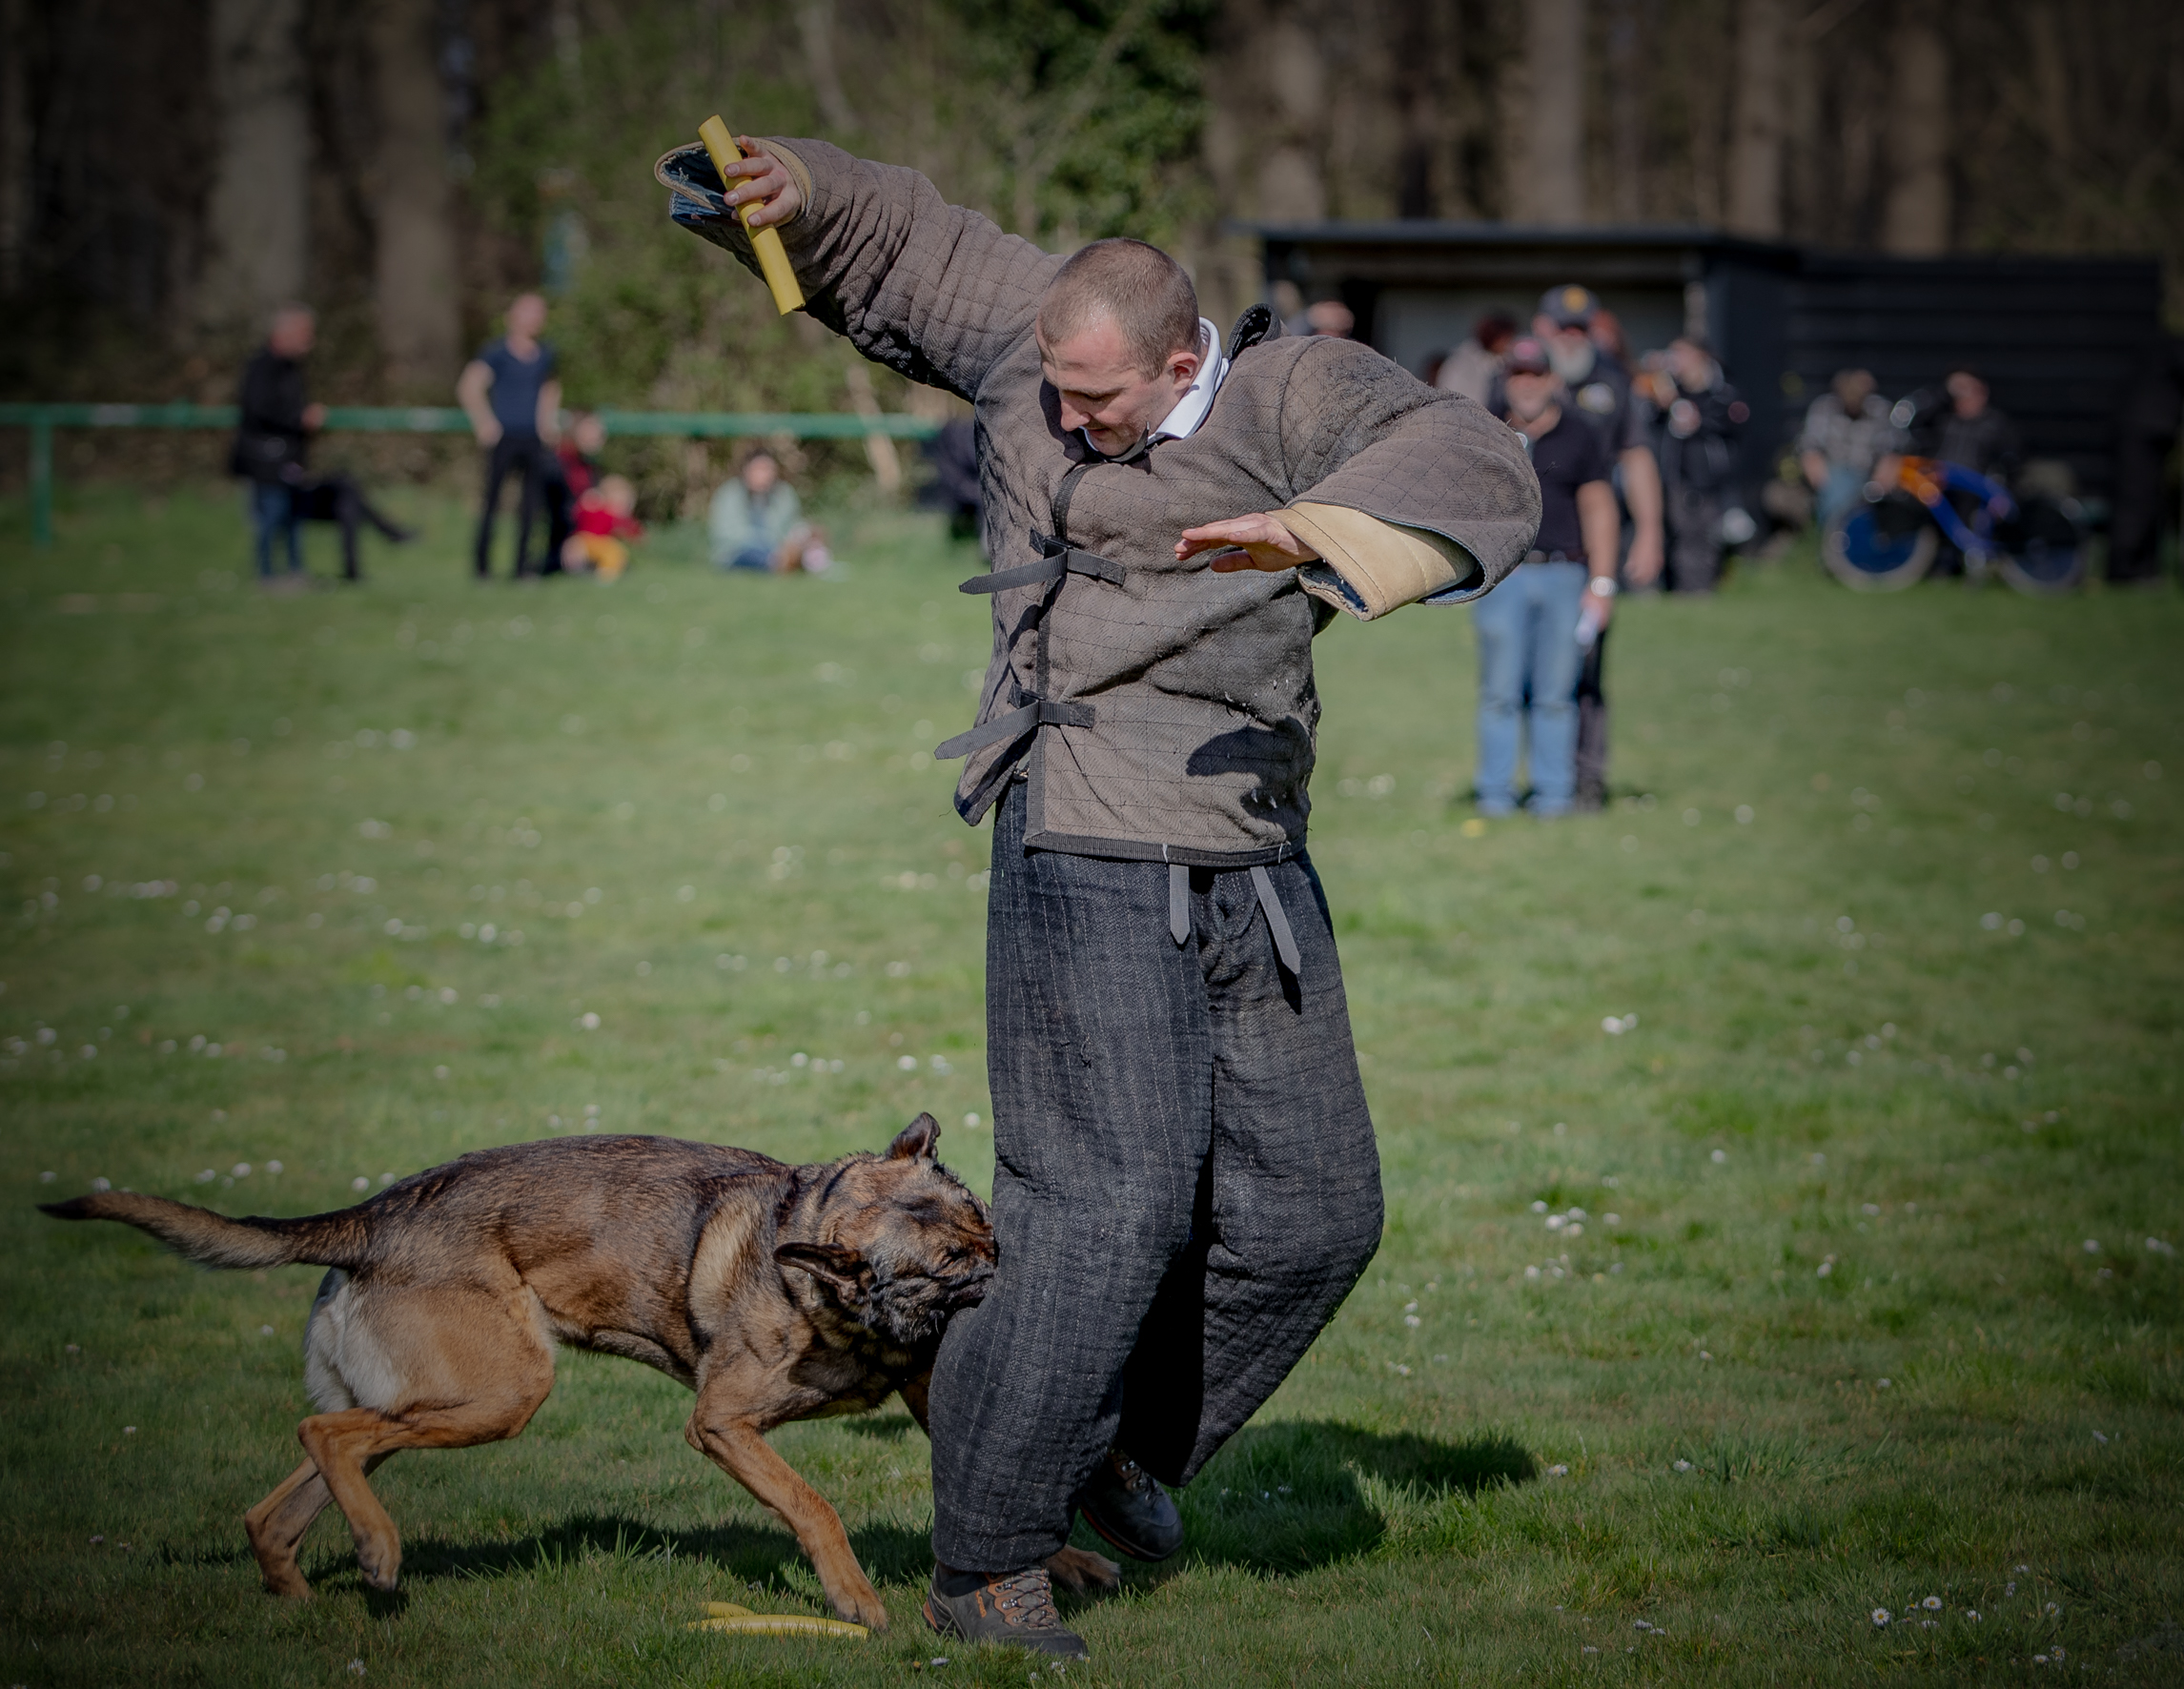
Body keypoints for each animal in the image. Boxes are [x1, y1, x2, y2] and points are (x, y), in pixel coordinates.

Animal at [42, 1114, 1118, 1628]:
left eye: (980, 1216)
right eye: (948, 1263)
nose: (1017, 1257)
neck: (819, 1285)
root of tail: (373, 1215)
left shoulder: (924, 1395)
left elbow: (1008, 1461)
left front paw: (1059, 1562)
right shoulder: (721, 1425)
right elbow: (812, 1505)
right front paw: (853, 1600)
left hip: (429, 1397)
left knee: (282, 1502)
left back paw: (309, 1608)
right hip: (501, 1391)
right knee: (323, 1434)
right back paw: (381, 1554)